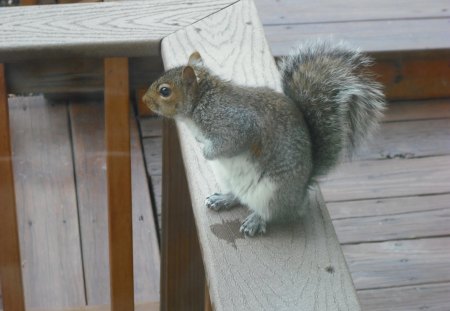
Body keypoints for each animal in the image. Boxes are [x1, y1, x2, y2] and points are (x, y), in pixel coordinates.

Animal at [144, 40, 386, 238]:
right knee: (238, 196)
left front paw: (206, 152)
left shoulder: (236, 124)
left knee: (270, 213)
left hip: (272, 193)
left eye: (164, 91)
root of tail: (300, 194)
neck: (202, 100)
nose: (144, 100)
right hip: (228, 178)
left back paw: (255, 220)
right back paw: (224, 199)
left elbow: (229, 143)